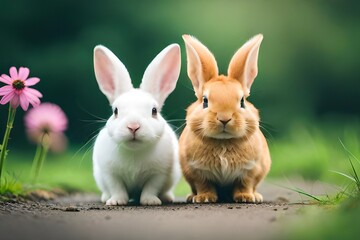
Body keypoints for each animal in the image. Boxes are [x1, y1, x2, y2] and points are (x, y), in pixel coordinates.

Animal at [93, 44, 181, 205]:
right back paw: (105, 198)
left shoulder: (158, 174)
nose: (133, 126)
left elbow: (151, 188)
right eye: (115, 111)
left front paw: (150, 201)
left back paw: (167, 198)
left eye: (154, 111)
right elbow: (117, 188)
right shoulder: (110, 173)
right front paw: (116, 201)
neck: (134, 151)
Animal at [180, 33, 270, 202]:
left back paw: (256, 196)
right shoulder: (197, 171)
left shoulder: (250, 170)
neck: (223, 142)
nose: (224, 118)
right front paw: (204, 198)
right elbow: (204, 185)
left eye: (242, 101)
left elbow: (245, 184)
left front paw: (246, 198)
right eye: (205, 101)